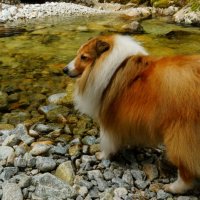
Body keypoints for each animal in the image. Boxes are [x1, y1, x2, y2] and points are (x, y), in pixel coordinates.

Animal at [63, 34, 200, 194]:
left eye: (84, 57)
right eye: (78, 54)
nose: (64, 69)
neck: (113, 68)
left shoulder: (108, 118)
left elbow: (107, 141)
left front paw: (103, 155)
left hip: (181, 134)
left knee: (186, 169)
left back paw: (173, 187)